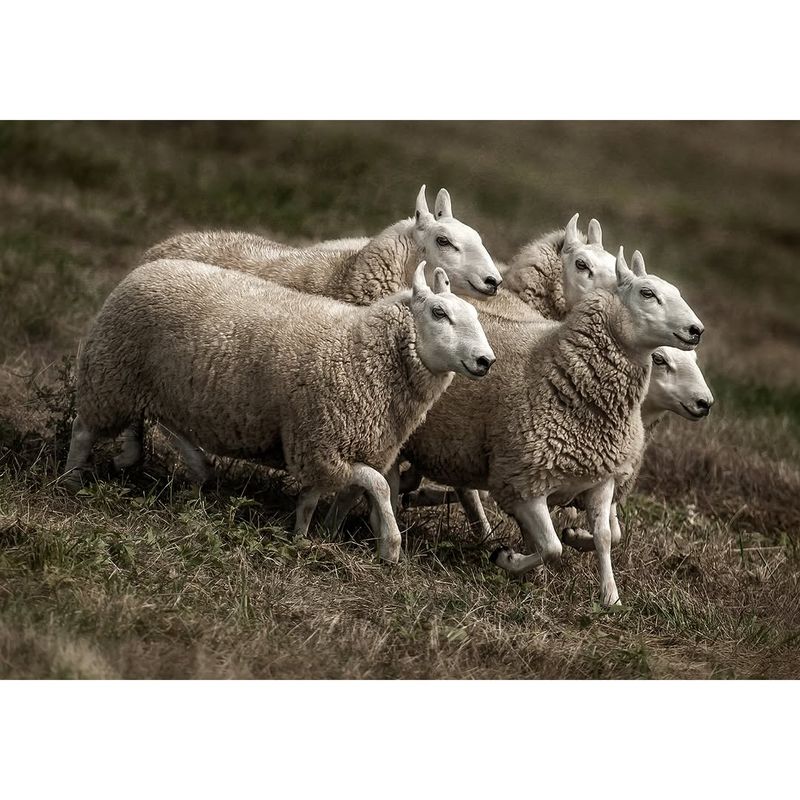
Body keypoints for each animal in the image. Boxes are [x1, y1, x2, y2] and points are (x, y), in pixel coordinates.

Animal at [62, 260, 494, 560]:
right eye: (439, 313)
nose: (486, 360)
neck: (362, 349)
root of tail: (145, 267)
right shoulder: (319, 443)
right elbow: (379, 485)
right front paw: (389, 546)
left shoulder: (325, 445)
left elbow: (317, 495)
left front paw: (301, 536)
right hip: (110, 377)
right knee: (84, 429)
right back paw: (70, 479)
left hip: (156, 386)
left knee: (166, 423)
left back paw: (194, 469)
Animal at [404, 247, 704, 604]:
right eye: (648, 293)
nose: (696, 329)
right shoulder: (523, 481)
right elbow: (551, 547)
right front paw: (508, 559)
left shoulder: (601, 478)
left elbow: (606, 537)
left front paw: (610, 597)